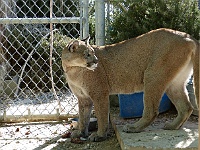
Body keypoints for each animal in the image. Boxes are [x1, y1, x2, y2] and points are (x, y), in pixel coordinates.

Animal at [61, 28, 199, 142]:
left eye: (93, 52)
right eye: (87, 54)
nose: (96, 61)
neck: (72, 69)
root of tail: (188, 36)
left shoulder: (99, 94)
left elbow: (101, 116)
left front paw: (99, 135)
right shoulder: (83, 98)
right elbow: (83, 117)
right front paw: (80, 133)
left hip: (152, 76)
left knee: (152, 111)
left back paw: (134, 127)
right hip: (174, 83)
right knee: (186, 107)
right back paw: (172, 126)